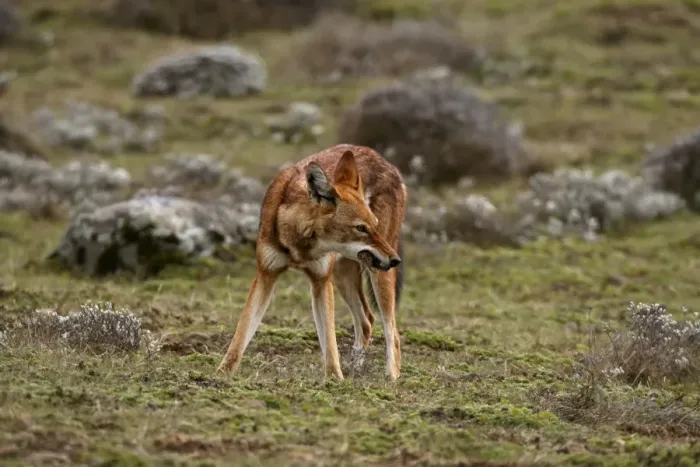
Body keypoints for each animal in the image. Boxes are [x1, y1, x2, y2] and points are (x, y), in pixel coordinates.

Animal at [216, 144, 407, 380]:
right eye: (361, 228)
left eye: (374, 225)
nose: (396, 260)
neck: (300, 244)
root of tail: (387, 162)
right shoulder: (265, 276)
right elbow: (241, 335)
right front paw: (221, 373)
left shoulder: (321, 281)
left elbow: (330, 344)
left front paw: (335, 380)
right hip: (343, 277)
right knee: (367, 321)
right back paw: (355, 368)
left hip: (376, 277)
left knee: (392, 332)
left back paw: (391, 378)